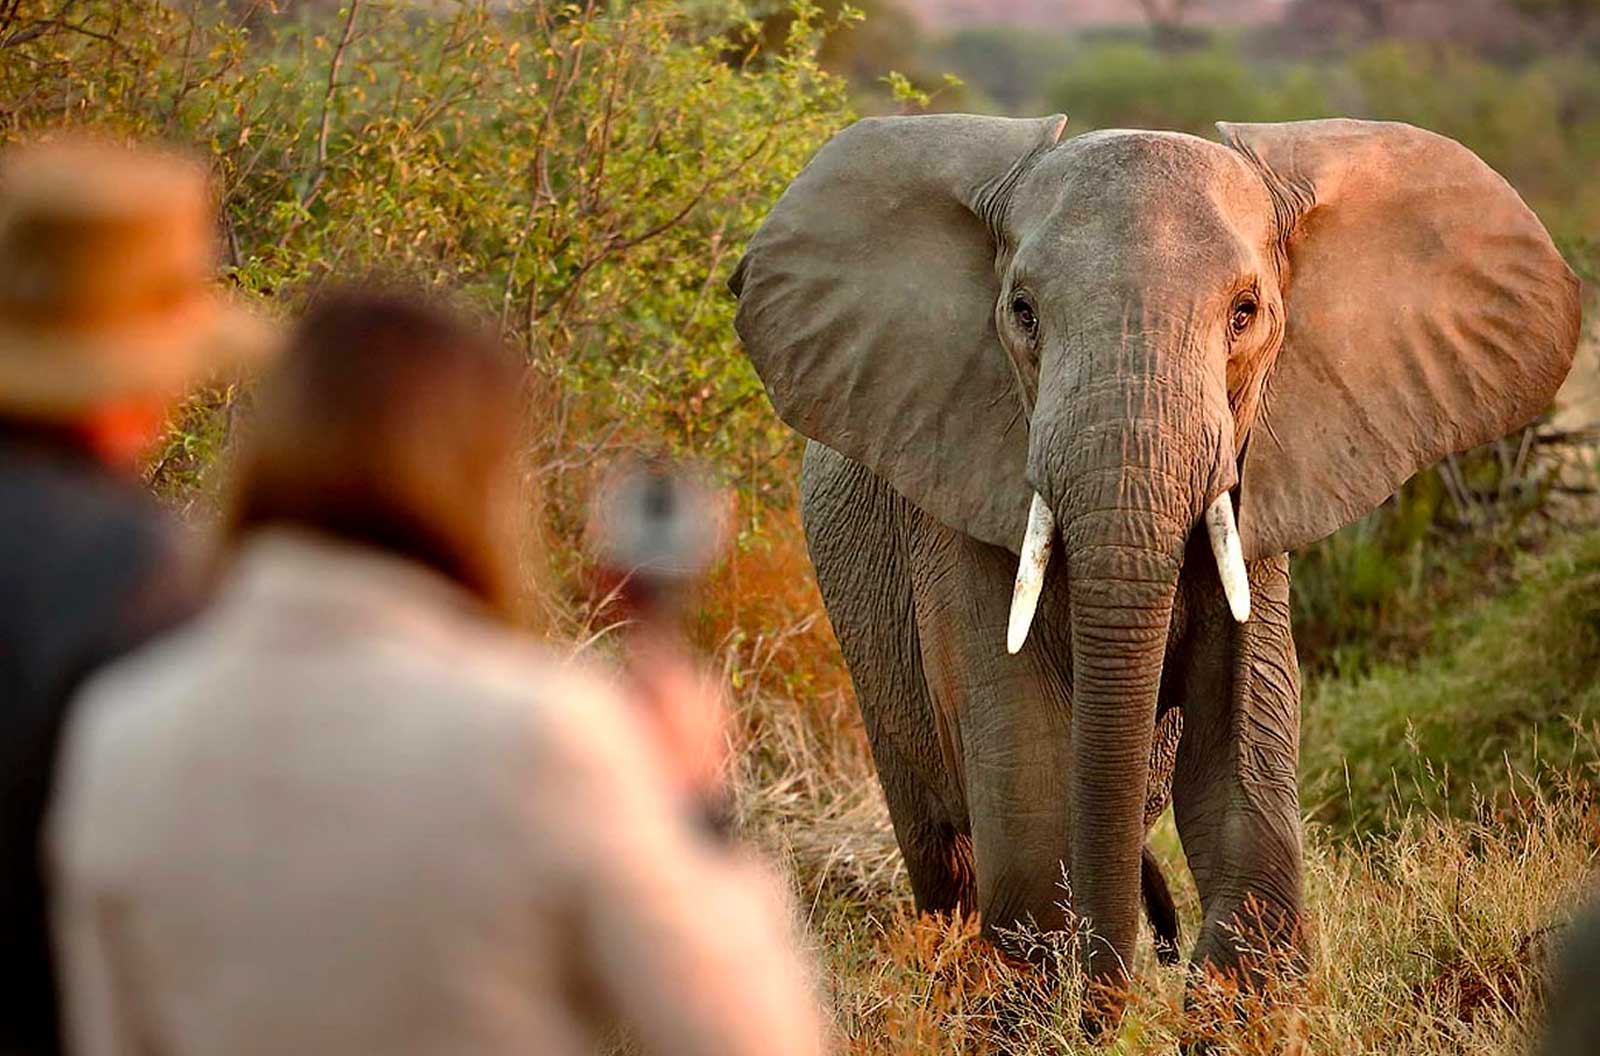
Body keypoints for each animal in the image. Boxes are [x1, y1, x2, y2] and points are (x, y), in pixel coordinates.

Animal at [732, 113, 1580, 1017]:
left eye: (1246, 313)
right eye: (1022, 313)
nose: (1116, 995)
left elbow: (1243, 781)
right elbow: (1030, 804)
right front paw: (1049, 1007)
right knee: (944, 861)